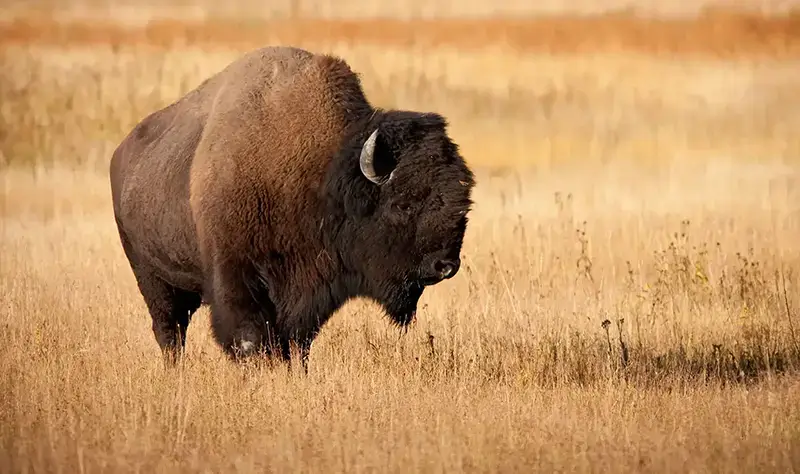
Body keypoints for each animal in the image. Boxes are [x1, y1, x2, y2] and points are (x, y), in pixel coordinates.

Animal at [109, 46, 475, 368]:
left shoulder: (307, 293)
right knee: (169, 329)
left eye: (464, 205)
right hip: (152, 277)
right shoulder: (236, 277)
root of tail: (121, 153)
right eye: (402, 205)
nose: (445, 266)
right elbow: (250, 337)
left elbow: (297, 341)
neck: (320, 174)